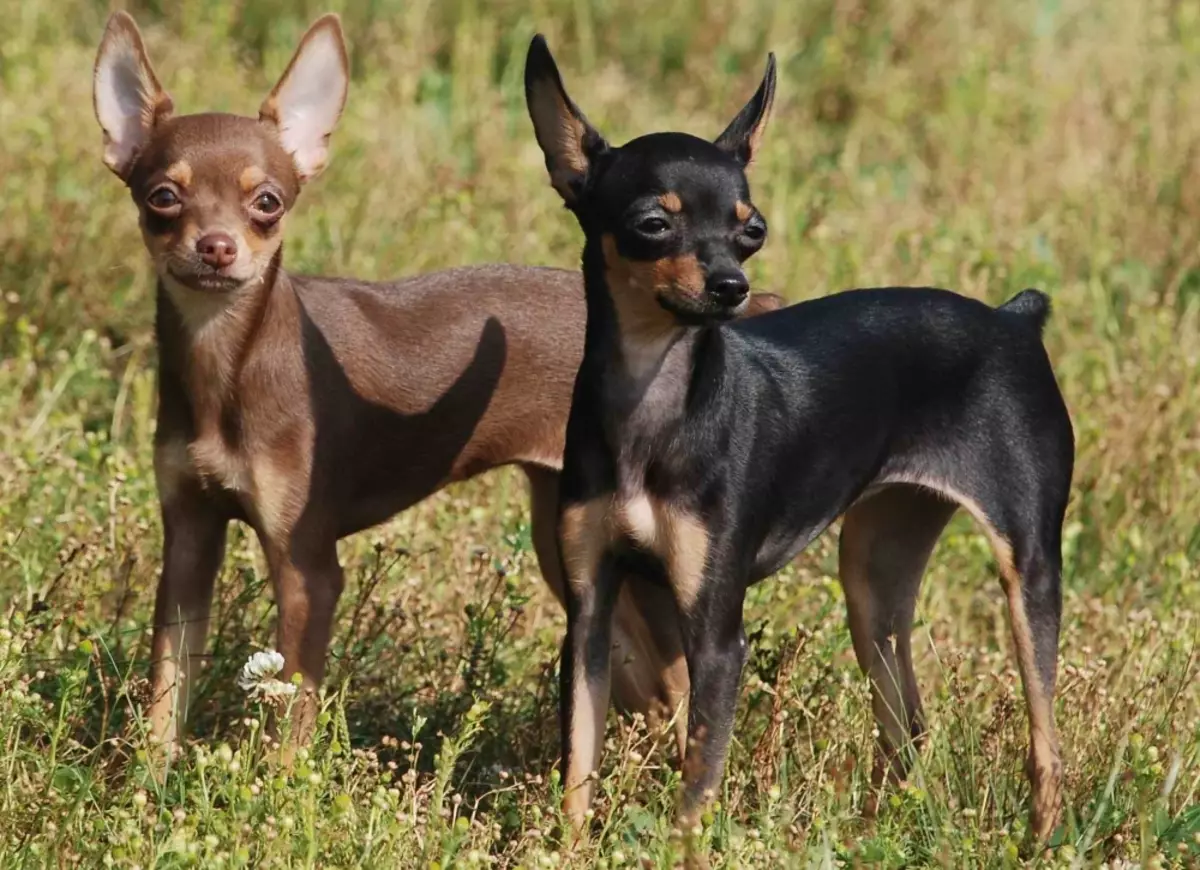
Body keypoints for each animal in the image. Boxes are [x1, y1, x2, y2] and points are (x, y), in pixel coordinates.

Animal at [93, 10, 787, 748]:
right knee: (654, 691)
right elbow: (166, 691)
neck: (230, 363)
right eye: (163, 198)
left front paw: (278, 775)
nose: (217, 248)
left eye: (268, 203)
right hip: (577, 555)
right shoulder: (189, 539)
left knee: (683, 688)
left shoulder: (308, 569)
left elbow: (292, 723)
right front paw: (153, 769)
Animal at [530, 33, 1075, 840]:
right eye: (654, 224)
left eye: (751, 231)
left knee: (1046, 746)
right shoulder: (591, 613)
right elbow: (578, 768)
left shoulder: (716, 635)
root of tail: (1013, 320)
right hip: (874, 585)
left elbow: (695, 793)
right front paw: (565, 848)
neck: (654, 401)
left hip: (1027, 574)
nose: (732, 287)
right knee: (909, 729)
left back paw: (1038, 842)